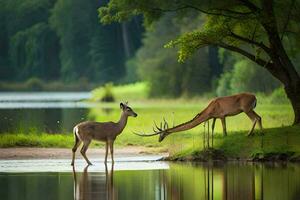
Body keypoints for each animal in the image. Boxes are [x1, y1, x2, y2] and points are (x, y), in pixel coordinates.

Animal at [134, 93, 262, 142]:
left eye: (162, 133)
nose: (159, 140)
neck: (210, 110)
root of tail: (255, 97)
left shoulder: (222, 116)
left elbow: (224, 130)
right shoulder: (214, 117)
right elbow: (212, 129)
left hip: (247, 109)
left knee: (255, 119)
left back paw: (248, 134)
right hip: (251, 109)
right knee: (259, 117)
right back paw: (262, 133)